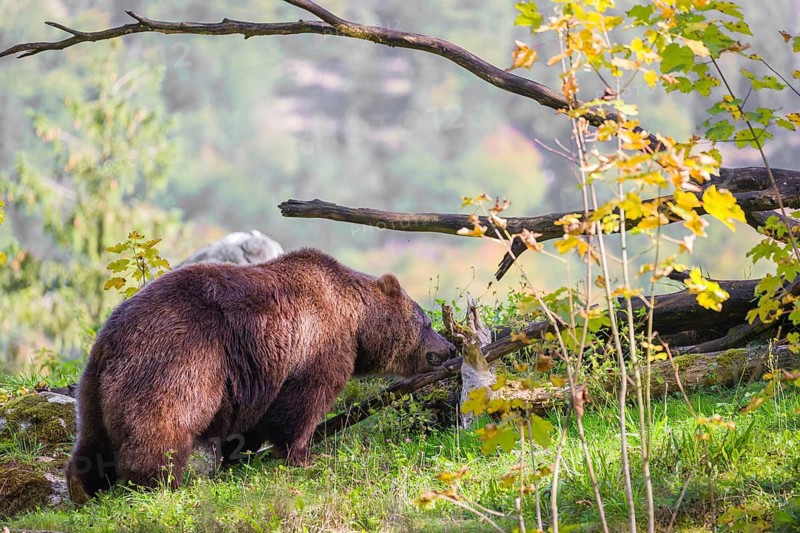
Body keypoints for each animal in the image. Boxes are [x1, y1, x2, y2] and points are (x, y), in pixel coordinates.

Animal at [66, 248, 455, 503]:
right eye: (426, 322)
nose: (449, 348)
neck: (355, 321)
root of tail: (110, 339)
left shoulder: (258, 378)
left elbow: (249, 423)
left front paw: (239, 455)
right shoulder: (315, 346)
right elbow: (301, 404)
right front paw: (305, 455)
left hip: (95, 386)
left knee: (92, 439)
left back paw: (83, 486)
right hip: (178, 361)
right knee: (161, 424)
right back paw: (159, 482)